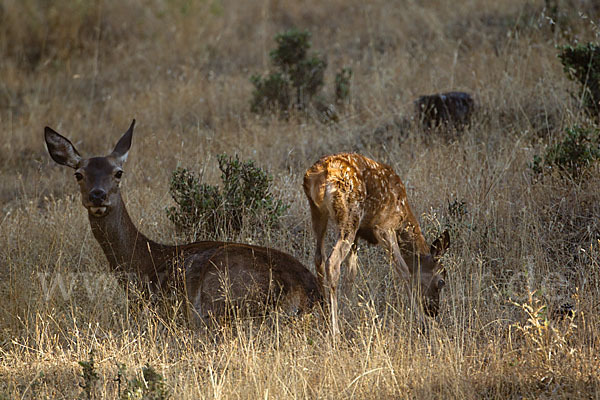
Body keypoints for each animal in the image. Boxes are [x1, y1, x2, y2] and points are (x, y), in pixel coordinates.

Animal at [44, 121, 322, 324]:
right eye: (79, 174)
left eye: (118, 172)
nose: (97, 195)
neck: (143, 262)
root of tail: (307, 292)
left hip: (217, 295)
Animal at [304, 153, 450, 334]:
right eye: (441, 281)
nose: (434, 311)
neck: (403, 215)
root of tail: (319, 175)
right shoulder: (384, 227)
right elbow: (403, 270)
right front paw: (421, 323)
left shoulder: (359, 233)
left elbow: (352, 273)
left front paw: (346, 311)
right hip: (349, 215)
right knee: (332, 262)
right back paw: (335, 330)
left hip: (319, 213)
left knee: (319, 257)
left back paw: (325, 312)